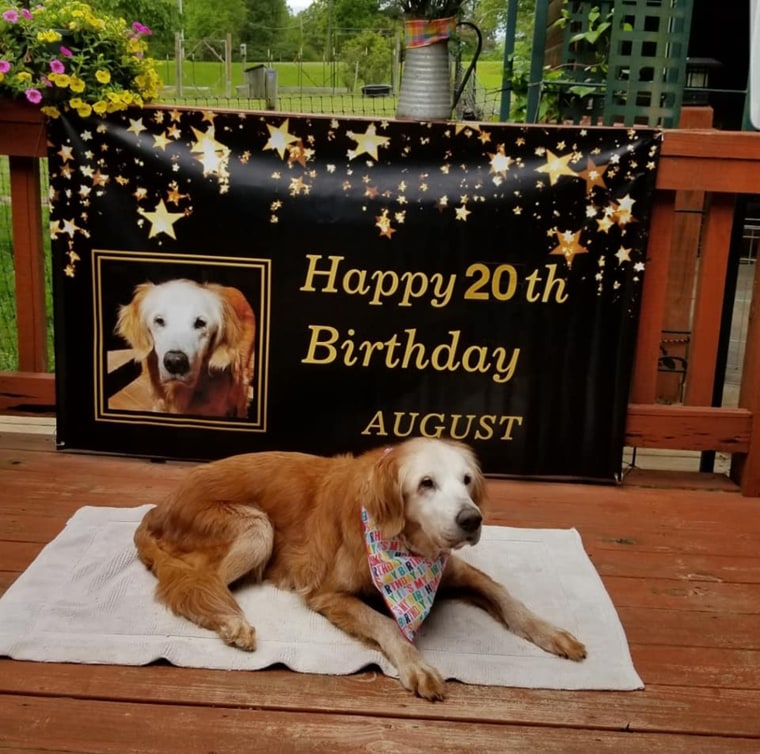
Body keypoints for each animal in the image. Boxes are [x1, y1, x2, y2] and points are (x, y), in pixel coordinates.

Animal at [135, 438, 588, 696]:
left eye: (466, 481)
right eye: (426, 483)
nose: (471, 520)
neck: (405, 546)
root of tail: (160, 507)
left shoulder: (455, 571)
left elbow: (509, 599)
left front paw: (552, 633)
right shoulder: (327, 594)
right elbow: (386, 624)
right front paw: (415, 664)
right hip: (257, 528)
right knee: (197, 583)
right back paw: (232, 623)